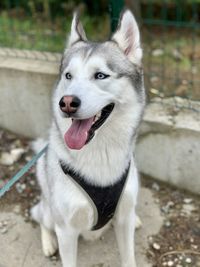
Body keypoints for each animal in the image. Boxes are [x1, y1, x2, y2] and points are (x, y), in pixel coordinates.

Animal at [32, 8, 146, 267]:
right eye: (68, 76)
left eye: (100, 75)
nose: (66, 103)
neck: (100, 154)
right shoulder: (66, 230)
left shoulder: (123, 217)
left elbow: (129, 256)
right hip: (50, 211)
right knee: (41, 218)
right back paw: (47, 242)